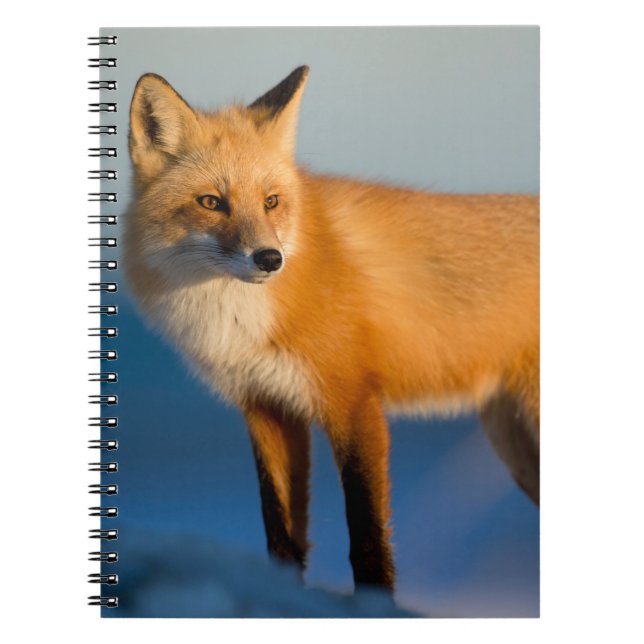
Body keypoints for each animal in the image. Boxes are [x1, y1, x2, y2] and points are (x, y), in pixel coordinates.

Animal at [124, 66, 539, 592]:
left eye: (271, 201)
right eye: (211, 202)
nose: (270, 259)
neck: (241, 320)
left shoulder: (353, 401)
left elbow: (366, 536)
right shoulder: (267, 407)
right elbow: (280, 532)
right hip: (518, 449)